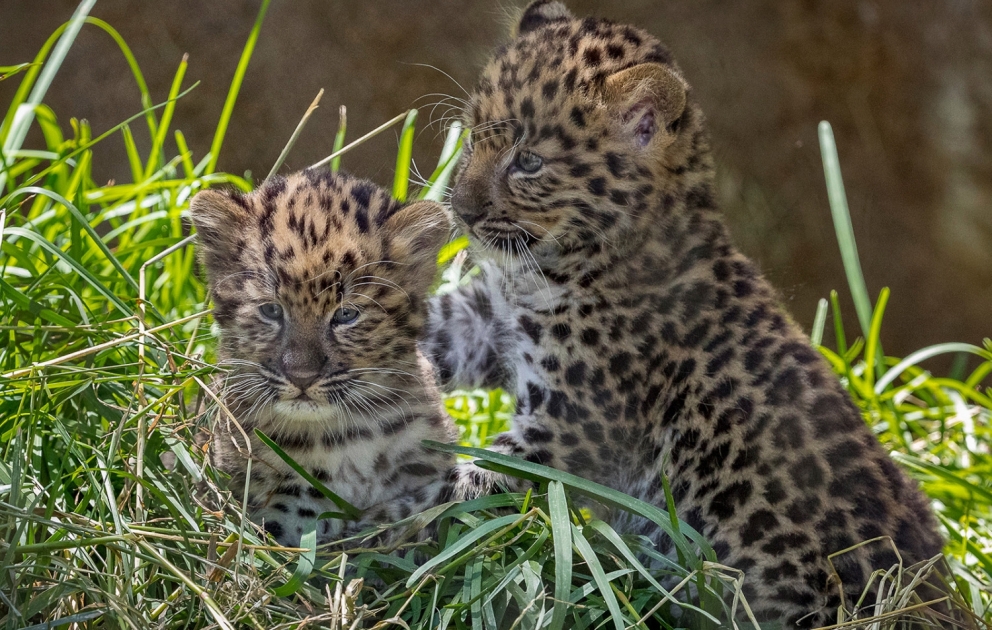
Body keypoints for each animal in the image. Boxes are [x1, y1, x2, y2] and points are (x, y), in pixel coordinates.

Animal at [421, 1, 945, 626]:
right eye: (472, 136)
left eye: (528, 161)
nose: (461, 210)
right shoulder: (488, 319)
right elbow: (427, 324)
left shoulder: (569, 430)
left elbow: (468, 482)